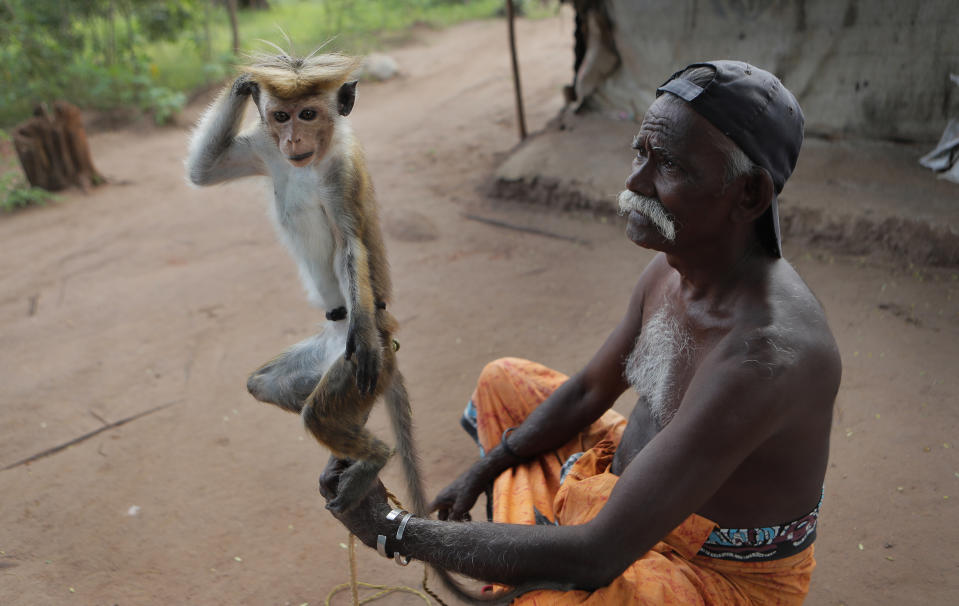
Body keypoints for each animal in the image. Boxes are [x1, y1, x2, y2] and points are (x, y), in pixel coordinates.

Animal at [186, 51, 426, 516]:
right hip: (324, 359)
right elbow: (202, 171)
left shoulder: (343, 170)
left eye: (308, 114)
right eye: (281, 116)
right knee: (265, 383)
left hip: (358, 361)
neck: (312, 162)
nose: (292, 139)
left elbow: (350, 244)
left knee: (319, 411)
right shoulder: (265, 148)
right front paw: (251, 81)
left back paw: (374, 458)